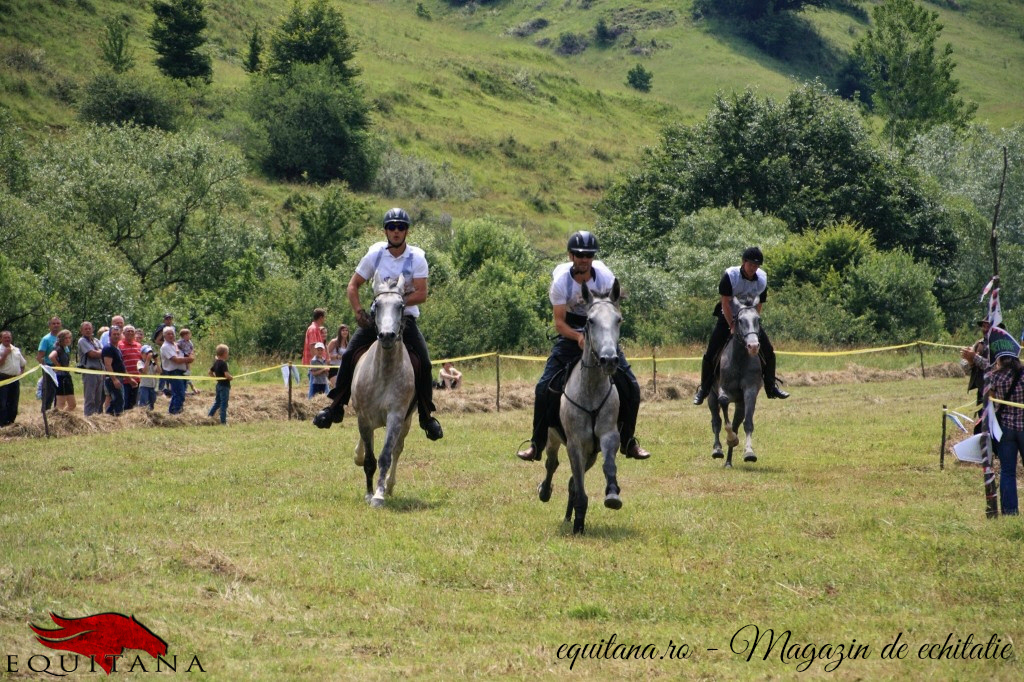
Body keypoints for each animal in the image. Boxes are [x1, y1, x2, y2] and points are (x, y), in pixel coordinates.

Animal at [352, 270, 415, 503]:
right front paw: (369, 493)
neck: (385, 373)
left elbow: (386, 455)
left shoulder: (396, 416)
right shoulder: (363, 417)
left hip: (405, 422)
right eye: (376, 305)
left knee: (397, 450)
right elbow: (369, 459)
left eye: (401, 306)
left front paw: (379, 494)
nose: (387, 336)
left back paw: (389, 485)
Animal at [536, 276, 622, 532]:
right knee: (551, 463)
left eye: (618, 320)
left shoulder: (607, 437)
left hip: (589, 454)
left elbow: (608, 467)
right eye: (590, 321)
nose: (609, 360)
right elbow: (579, 487)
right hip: (553, 438)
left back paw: (568, 515)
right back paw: (545, 492)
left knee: (573, 480)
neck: (590, 390)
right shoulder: (575, 444)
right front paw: (579, 525)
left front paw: (612, 495)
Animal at [708, 294, 765, 464]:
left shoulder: (750, 392)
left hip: (740, 403)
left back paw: (728, 461)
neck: (739, 358)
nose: (753, 346)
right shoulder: (723, 389)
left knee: (736, 423)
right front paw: (730, 439)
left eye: (758, 320)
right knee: (716, 421)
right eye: (740, 320)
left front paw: (749, 452)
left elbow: (747, 423)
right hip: (711, 397)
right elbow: (724, 406)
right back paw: (718, 450)